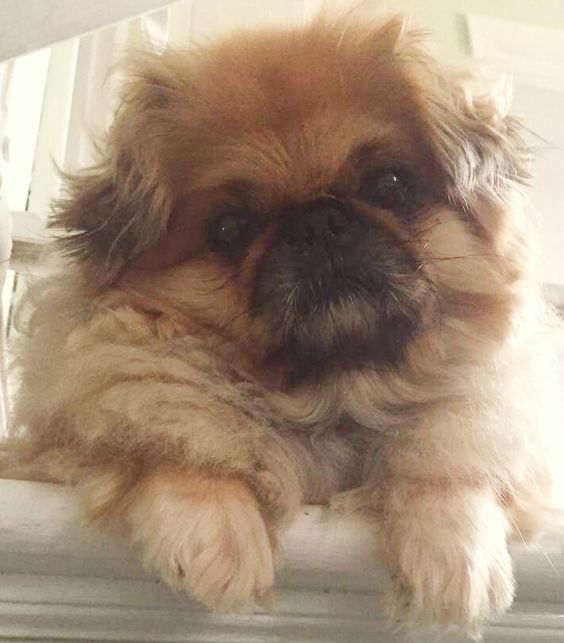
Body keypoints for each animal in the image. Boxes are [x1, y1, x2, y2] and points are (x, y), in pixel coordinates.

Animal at [7, 3, 564, 640]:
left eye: (392, 186)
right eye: (230, 229)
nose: (316, 223)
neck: (335, 395)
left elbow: (448, 459)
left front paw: (455, 555)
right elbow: (178, 430)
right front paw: (213, 531)